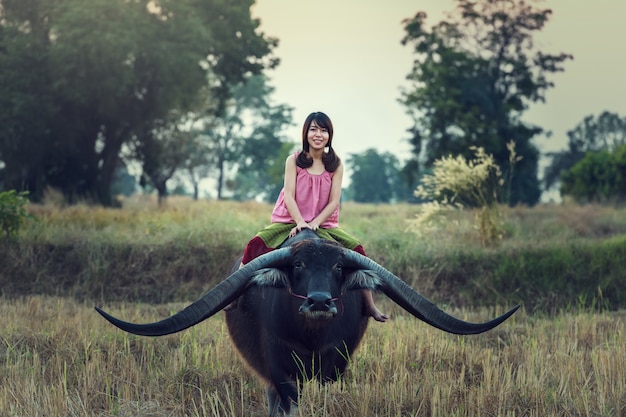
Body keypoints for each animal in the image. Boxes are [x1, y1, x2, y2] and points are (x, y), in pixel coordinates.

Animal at [96, 229, 516, 414]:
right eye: (297, 265)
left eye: (337, 267)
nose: (318, 301)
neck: (312, 337)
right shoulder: (279, 370)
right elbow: (288, 402)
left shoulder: (336, 364)